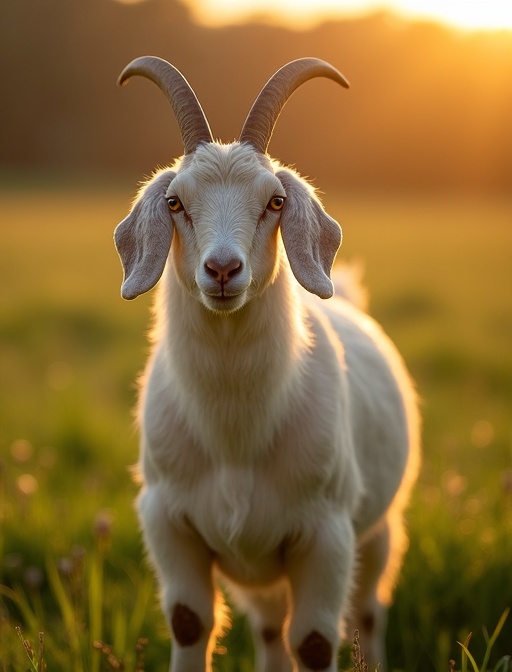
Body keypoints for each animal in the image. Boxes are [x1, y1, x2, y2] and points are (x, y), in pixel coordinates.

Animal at [114, 56, 420, 672]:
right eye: (175, 202)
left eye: (275, 201)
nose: (223, 270)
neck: (235, 436)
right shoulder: (167, 520)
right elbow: (190, 621)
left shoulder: (327, 536)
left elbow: (316, 640)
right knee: (270, 628)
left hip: (379, 530)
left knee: (369, 610)